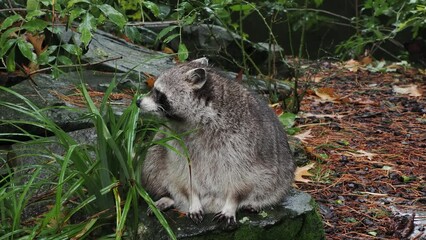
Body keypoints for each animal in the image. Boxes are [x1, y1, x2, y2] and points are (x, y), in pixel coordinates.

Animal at [137, 57, 296, 224]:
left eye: (158, 93)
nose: (138, 102)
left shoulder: (244, 142)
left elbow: (242, 177)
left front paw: (232, 202)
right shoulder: (176, 140)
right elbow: (184, 172)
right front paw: (193, 198)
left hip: (282, 172)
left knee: (274, 185)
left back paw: (256, 202)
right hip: (158, 147)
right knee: (153, 157)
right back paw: (167, 196)